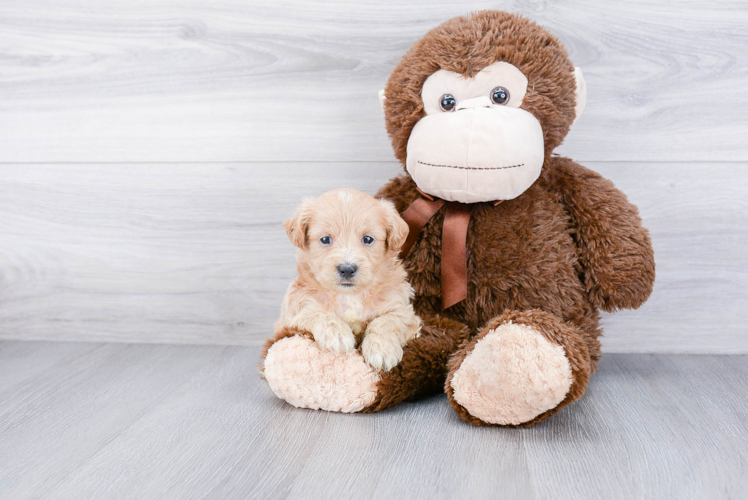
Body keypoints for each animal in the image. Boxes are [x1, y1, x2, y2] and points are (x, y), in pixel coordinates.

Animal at [278, 188, 424, 372]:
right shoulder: (294, 314)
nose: (347, 269)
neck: (349, 296)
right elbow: (318, 314)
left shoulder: (403, 310)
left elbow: (387, 321)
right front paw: (337, 334)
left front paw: (382, 350)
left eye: (367, 239)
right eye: (325, 239)